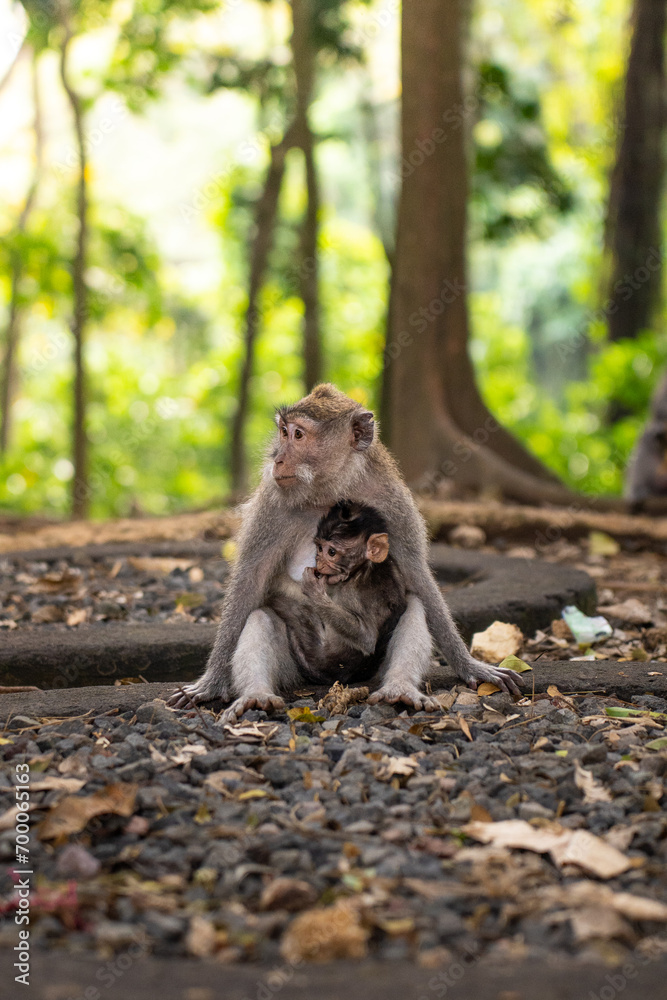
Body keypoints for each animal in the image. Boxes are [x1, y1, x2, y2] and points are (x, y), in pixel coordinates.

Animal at [167, 383, 523, 719]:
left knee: (413, 605)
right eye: (283, 431)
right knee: (258, 617)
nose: (276, 458)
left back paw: (399, 689)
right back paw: (257, 696)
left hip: (368, 670)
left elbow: (417, 577)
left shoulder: (393, 503)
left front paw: (469, 665)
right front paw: (211, 682)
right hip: (298, 668)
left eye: (298, 434)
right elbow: (249, 582)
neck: (331, 491)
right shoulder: (272, 504)